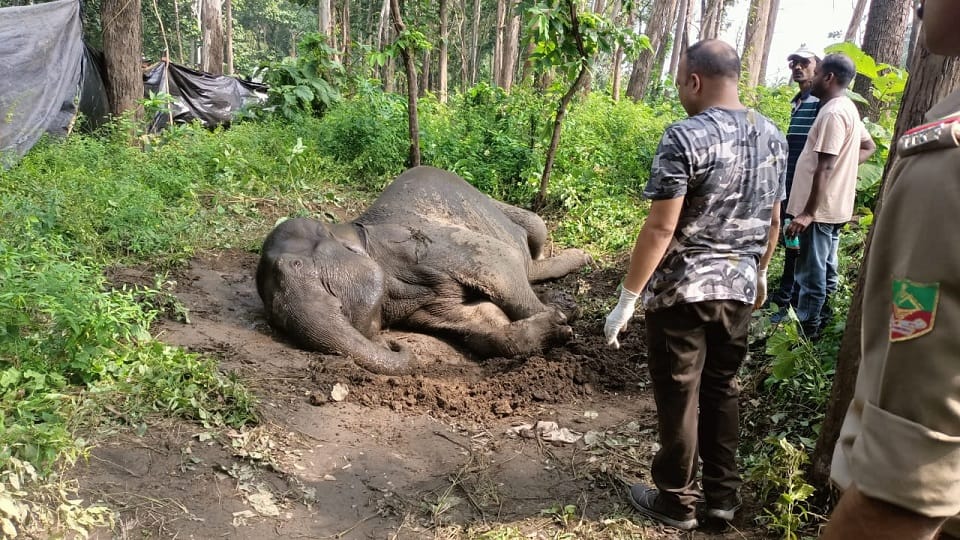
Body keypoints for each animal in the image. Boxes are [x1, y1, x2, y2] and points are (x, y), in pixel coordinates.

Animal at [256, 166, 591, 375]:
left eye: (296, 264)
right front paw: (556, 323)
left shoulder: (423, 246)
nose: (392, 343)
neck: (355, 231)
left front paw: (563, 321)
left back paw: (580, 264)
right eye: (275, 318)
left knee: (534, 232)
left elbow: (500, 264)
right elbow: (481, 322)